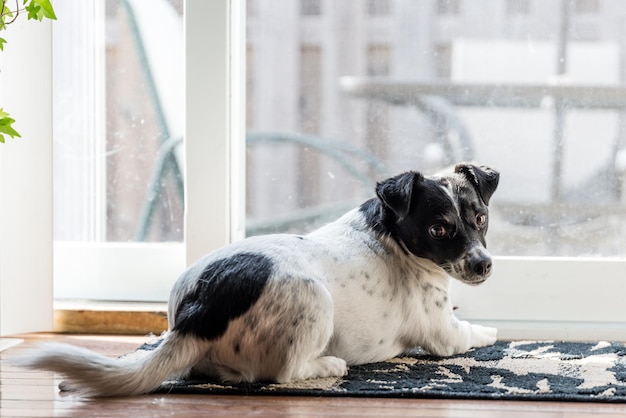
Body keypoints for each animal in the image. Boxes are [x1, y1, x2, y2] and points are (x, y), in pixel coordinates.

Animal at [15, 162, 498, 396]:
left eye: (480, 218)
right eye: (438, 230)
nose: (484, 265)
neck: (391, 235)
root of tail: (198, 312)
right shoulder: (444, 333)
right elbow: (473, 332)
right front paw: (492, 332)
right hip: (314, 299)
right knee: (283, 372)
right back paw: (327, 365)